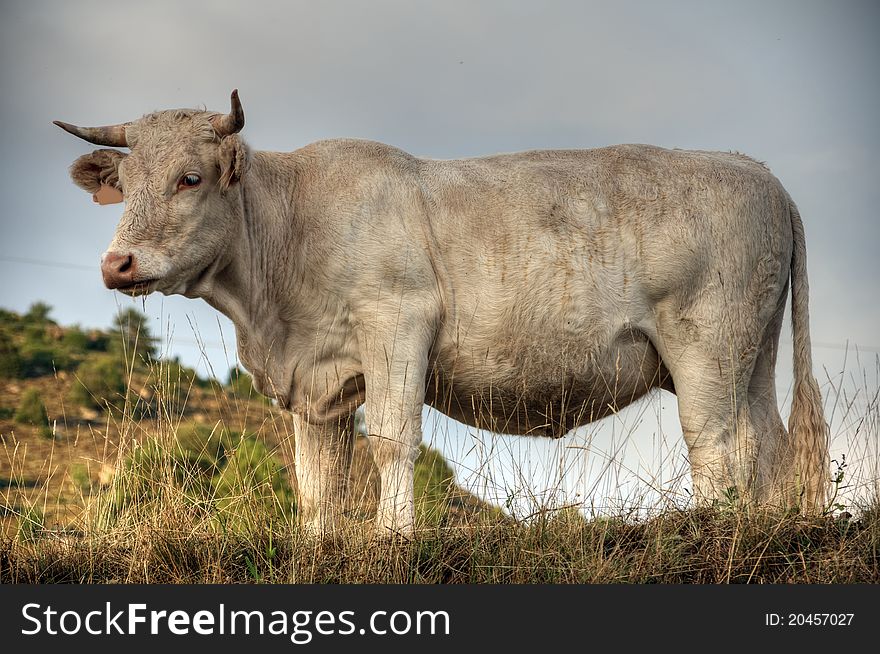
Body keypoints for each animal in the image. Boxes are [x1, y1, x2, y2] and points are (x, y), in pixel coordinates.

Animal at [56, 89, 832, 536]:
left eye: (189, 178)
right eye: (126, 182)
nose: (117, 264)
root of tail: (757, 171)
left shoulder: (396, 325)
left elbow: (392, 440)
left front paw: (393, 537)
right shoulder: (316, 379)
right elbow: (317, 478)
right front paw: (319, 544)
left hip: (708, 346)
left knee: (720, 443)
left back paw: (718, 525)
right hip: (753, 355)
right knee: (769, 440)